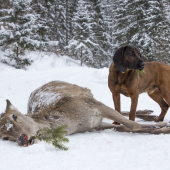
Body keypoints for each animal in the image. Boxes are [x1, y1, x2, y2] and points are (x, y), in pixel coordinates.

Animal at [0, 81, 170, 146]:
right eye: (5, 137)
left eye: (14, 116)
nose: (22, 139)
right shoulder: (95, 125)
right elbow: (124, 127)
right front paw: (162, 128)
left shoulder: (91, 104)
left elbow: (132, 124)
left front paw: (164, 126)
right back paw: (152, 115)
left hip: (86, 93)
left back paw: (151, 114)